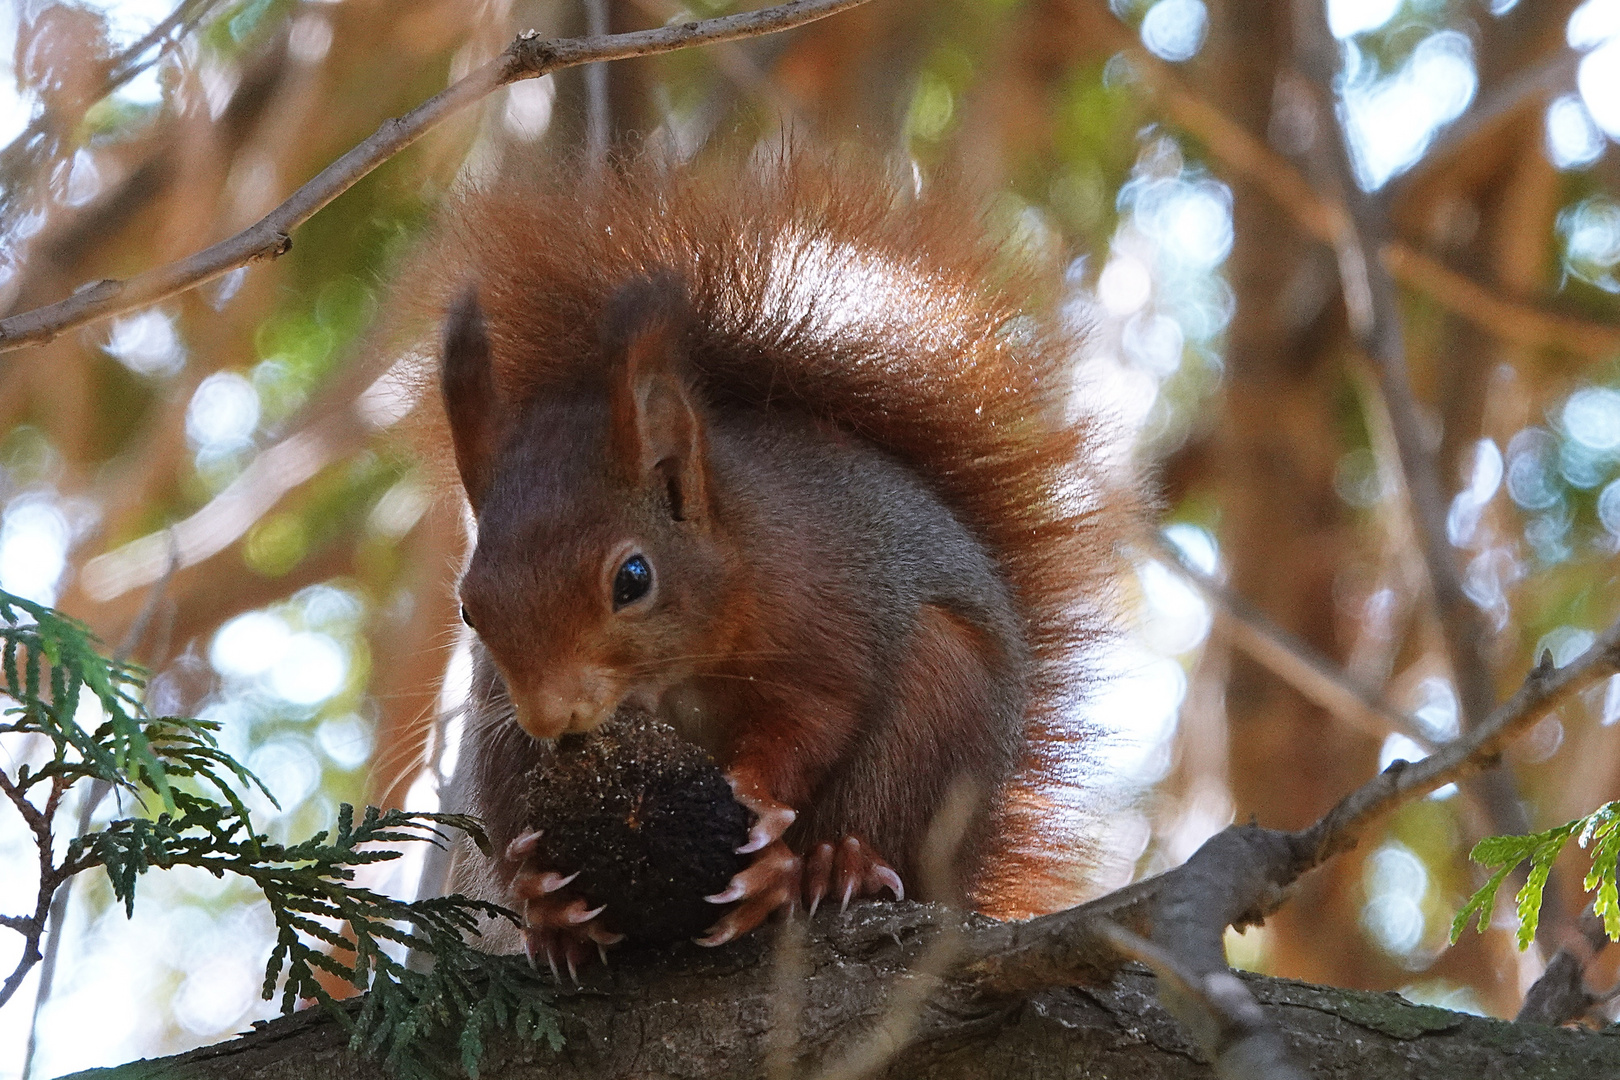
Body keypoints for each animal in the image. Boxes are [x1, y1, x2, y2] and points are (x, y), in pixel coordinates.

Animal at [414, 149, 1127, 971]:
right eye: (469, 607)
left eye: (633, 578)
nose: (552, 718)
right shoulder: (503, 716)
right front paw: (545, 894)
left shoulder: (824, 613)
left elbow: (811, 718)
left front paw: (757, 800)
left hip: (940, 711)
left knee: (883, 813)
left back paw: (824, 867)